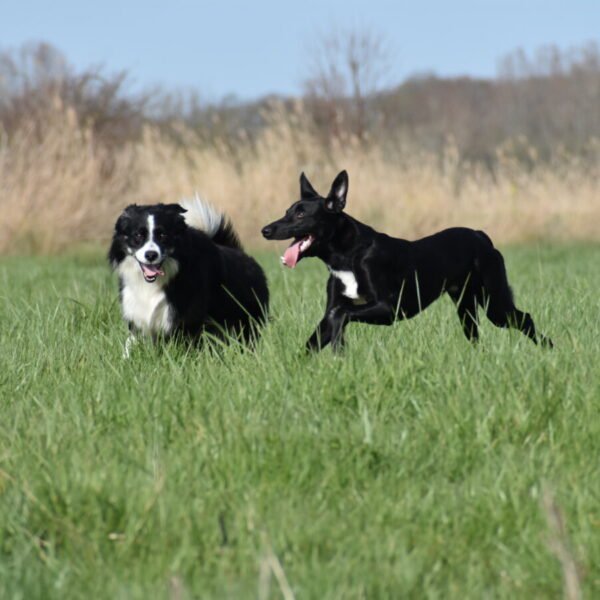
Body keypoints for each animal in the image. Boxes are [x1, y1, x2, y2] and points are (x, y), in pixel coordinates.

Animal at [109, 197, 270, 356]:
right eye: (138, 235)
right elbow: (130, 345)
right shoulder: (138, 315)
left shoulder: (188, 320)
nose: (151, 255)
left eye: (162, 235)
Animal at [260, 170, 552, 352]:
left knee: (525, 319)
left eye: (301, 215)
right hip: (466, 304)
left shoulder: (389, 309)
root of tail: (482, 236)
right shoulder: (331, 312)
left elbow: (341, 315)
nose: (266, 230)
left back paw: (549, 350)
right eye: (287, 211)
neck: (348, 255)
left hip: (494, 302)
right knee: (475, 335)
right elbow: (317, 337)